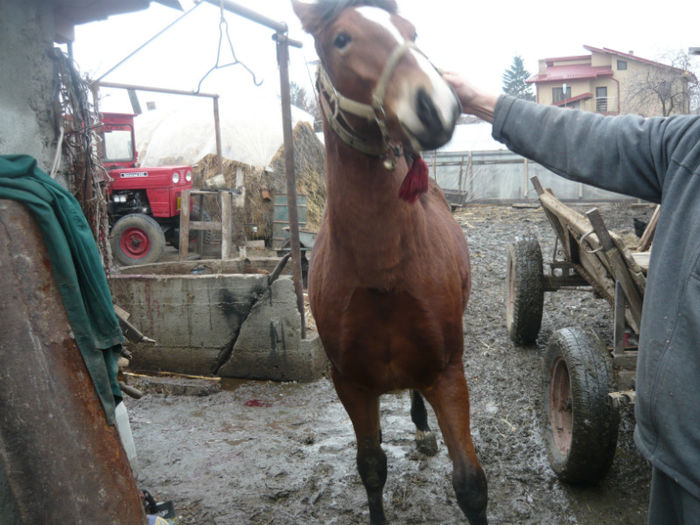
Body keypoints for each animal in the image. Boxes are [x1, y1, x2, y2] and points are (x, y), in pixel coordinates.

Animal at [292, 2, 484, 520]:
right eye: (340, 39)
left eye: (411, 32)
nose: (435, 104)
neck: (381, 271)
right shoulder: (351, 385)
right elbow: (372, 468)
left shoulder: (447, 373)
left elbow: (470, 484)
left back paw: (421, 429)